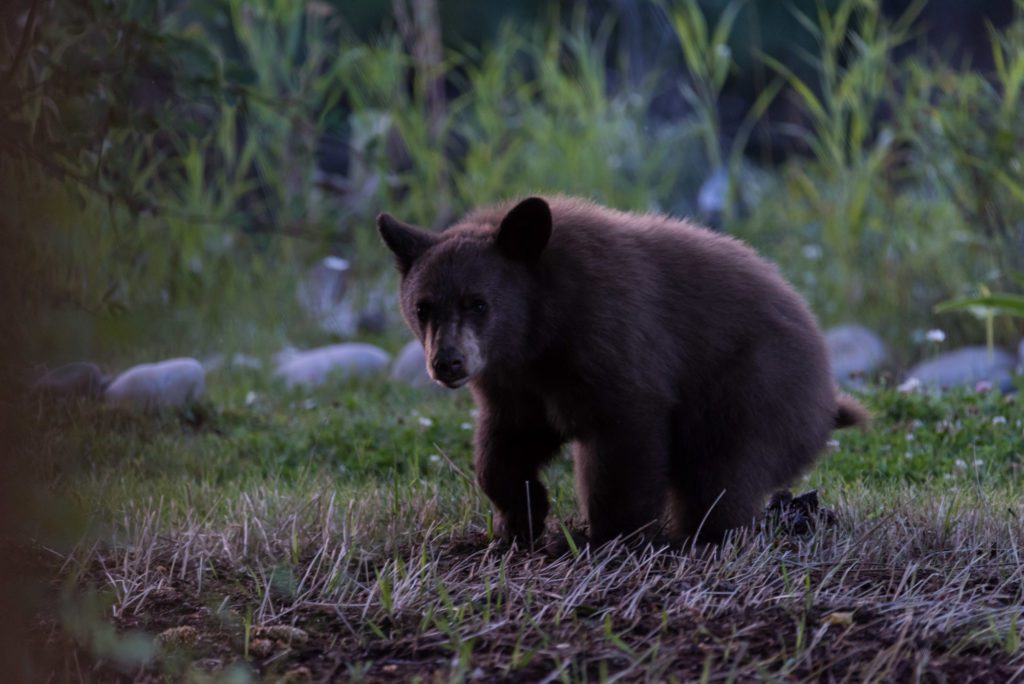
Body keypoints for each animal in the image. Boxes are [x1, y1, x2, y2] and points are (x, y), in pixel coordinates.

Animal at [378, 196, 867, 547]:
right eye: (423, 307)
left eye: (478, 303)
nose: (447, 362)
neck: (541, 329)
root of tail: (829, 394)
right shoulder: (517, 381)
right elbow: (506, 443)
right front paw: (520, 518)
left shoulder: (610, 335)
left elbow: (624, 435)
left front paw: (610, 536)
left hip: (759, 386)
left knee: (723, 471)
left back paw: (703, 535)